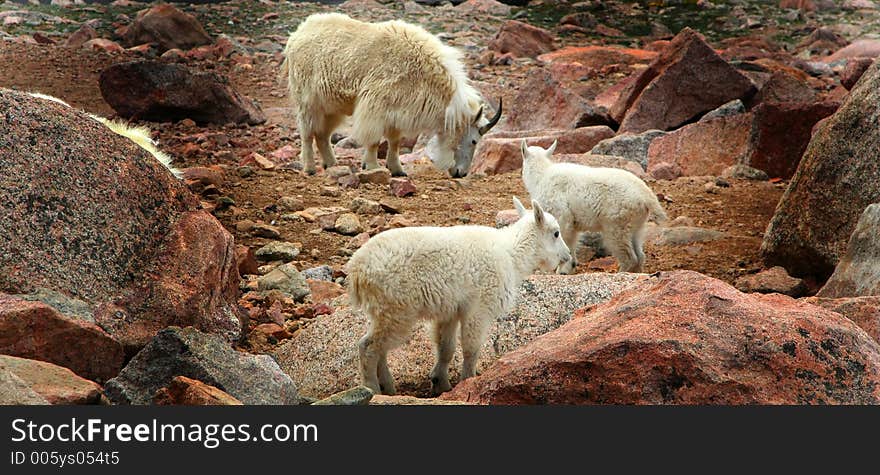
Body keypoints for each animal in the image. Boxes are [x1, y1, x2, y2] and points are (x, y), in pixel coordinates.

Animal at [282, 14, 502, 178]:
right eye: (474, 141)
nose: (460, 173)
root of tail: (296, 35)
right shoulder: (375, 104)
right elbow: (373, 139)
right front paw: (371, 167)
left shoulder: (398, 110)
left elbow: (395, 142)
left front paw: (397, 170)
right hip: (308, 100)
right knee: (307, 133)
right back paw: (309, 167)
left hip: (331, 105)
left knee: (322, 134)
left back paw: (332, 164)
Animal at [344, 197, 572, 398]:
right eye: (556, 233)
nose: (567, 256)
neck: (512, 255)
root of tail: (356, 271)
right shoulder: (479, 308)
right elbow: (471, 349)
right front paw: (467, 380)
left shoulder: (450, 311)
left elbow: (446, 348)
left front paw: (441, 383)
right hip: (397, 309)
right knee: (368, 346)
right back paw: (372, 388)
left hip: (384, 311)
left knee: (380, 348)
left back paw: (389, 388)